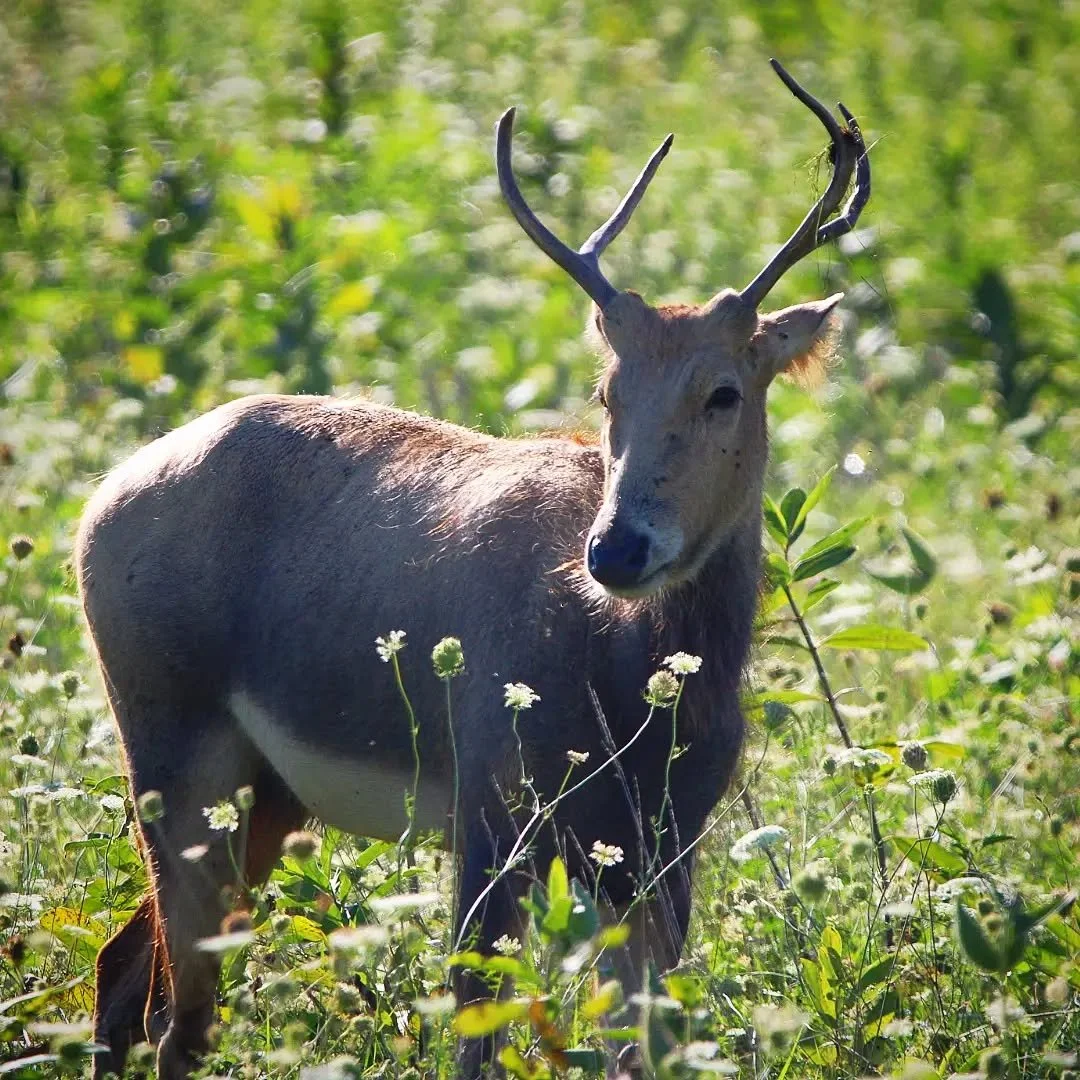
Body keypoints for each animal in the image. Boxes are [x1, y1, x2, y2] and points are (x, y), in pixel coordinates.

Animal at [77, 59, 869, 1080]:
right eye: (608, 391)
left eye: (725, 390)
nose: (617, 549)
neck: (624, 683)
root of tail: (101, 500)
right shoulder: (491, 809)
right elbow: (475, 1031)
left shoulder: (660, 846)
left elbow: (641, 1044)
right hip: (173, 743)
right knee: (178, 1012)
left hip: (268, 794)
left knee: (125, 972)